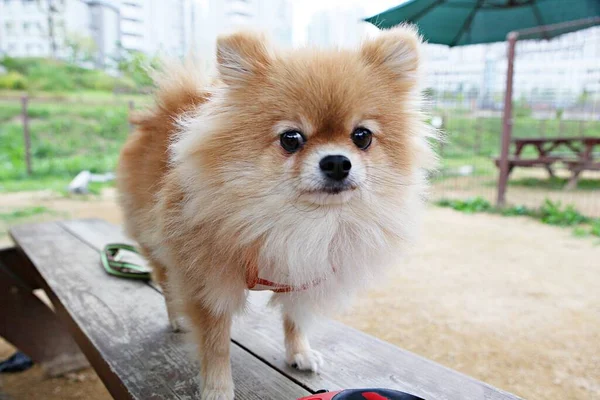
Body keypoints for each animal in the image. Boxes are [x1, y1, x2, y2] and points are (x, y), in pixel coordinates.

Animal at [117, 25, 434, 400]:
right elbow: (215, 342)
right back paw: (177, 316)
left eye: (362, 136)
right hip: (156, 240)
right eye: (291, 138)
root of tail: (167, 108)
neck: (295, 219)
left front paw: (299, 352)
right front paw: (217, 386)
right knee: (165, 279)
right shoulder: (208, 280)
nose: (337, 162)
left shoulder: (302, 272)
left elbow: (295, 318)